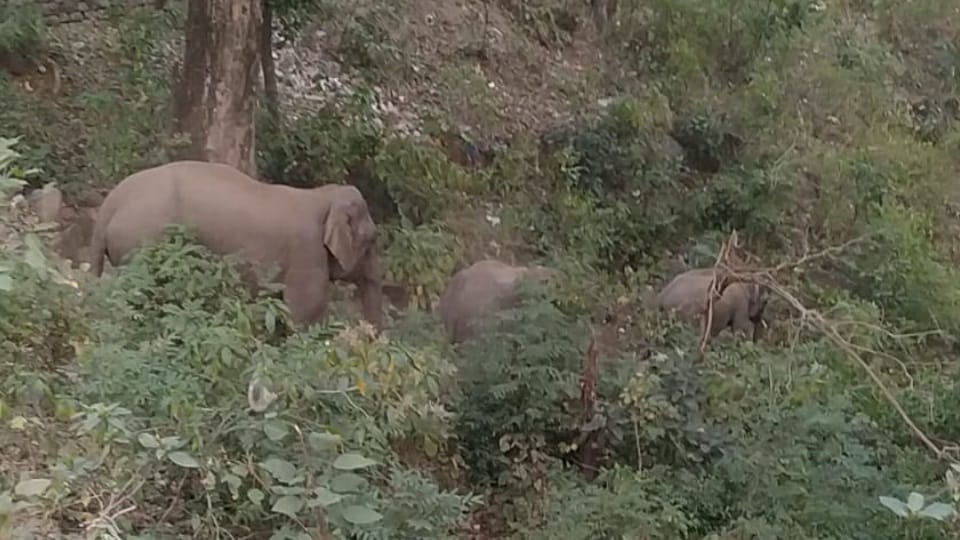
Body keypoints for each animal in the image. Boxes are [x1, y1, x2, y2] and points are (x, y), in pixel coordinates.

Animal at [88, 160, 384, 330]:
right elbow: (305, 312)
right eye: (372, 239)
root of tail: (107, 206)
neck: (322, 194)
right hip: (143, 242)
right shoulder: (307, 252)